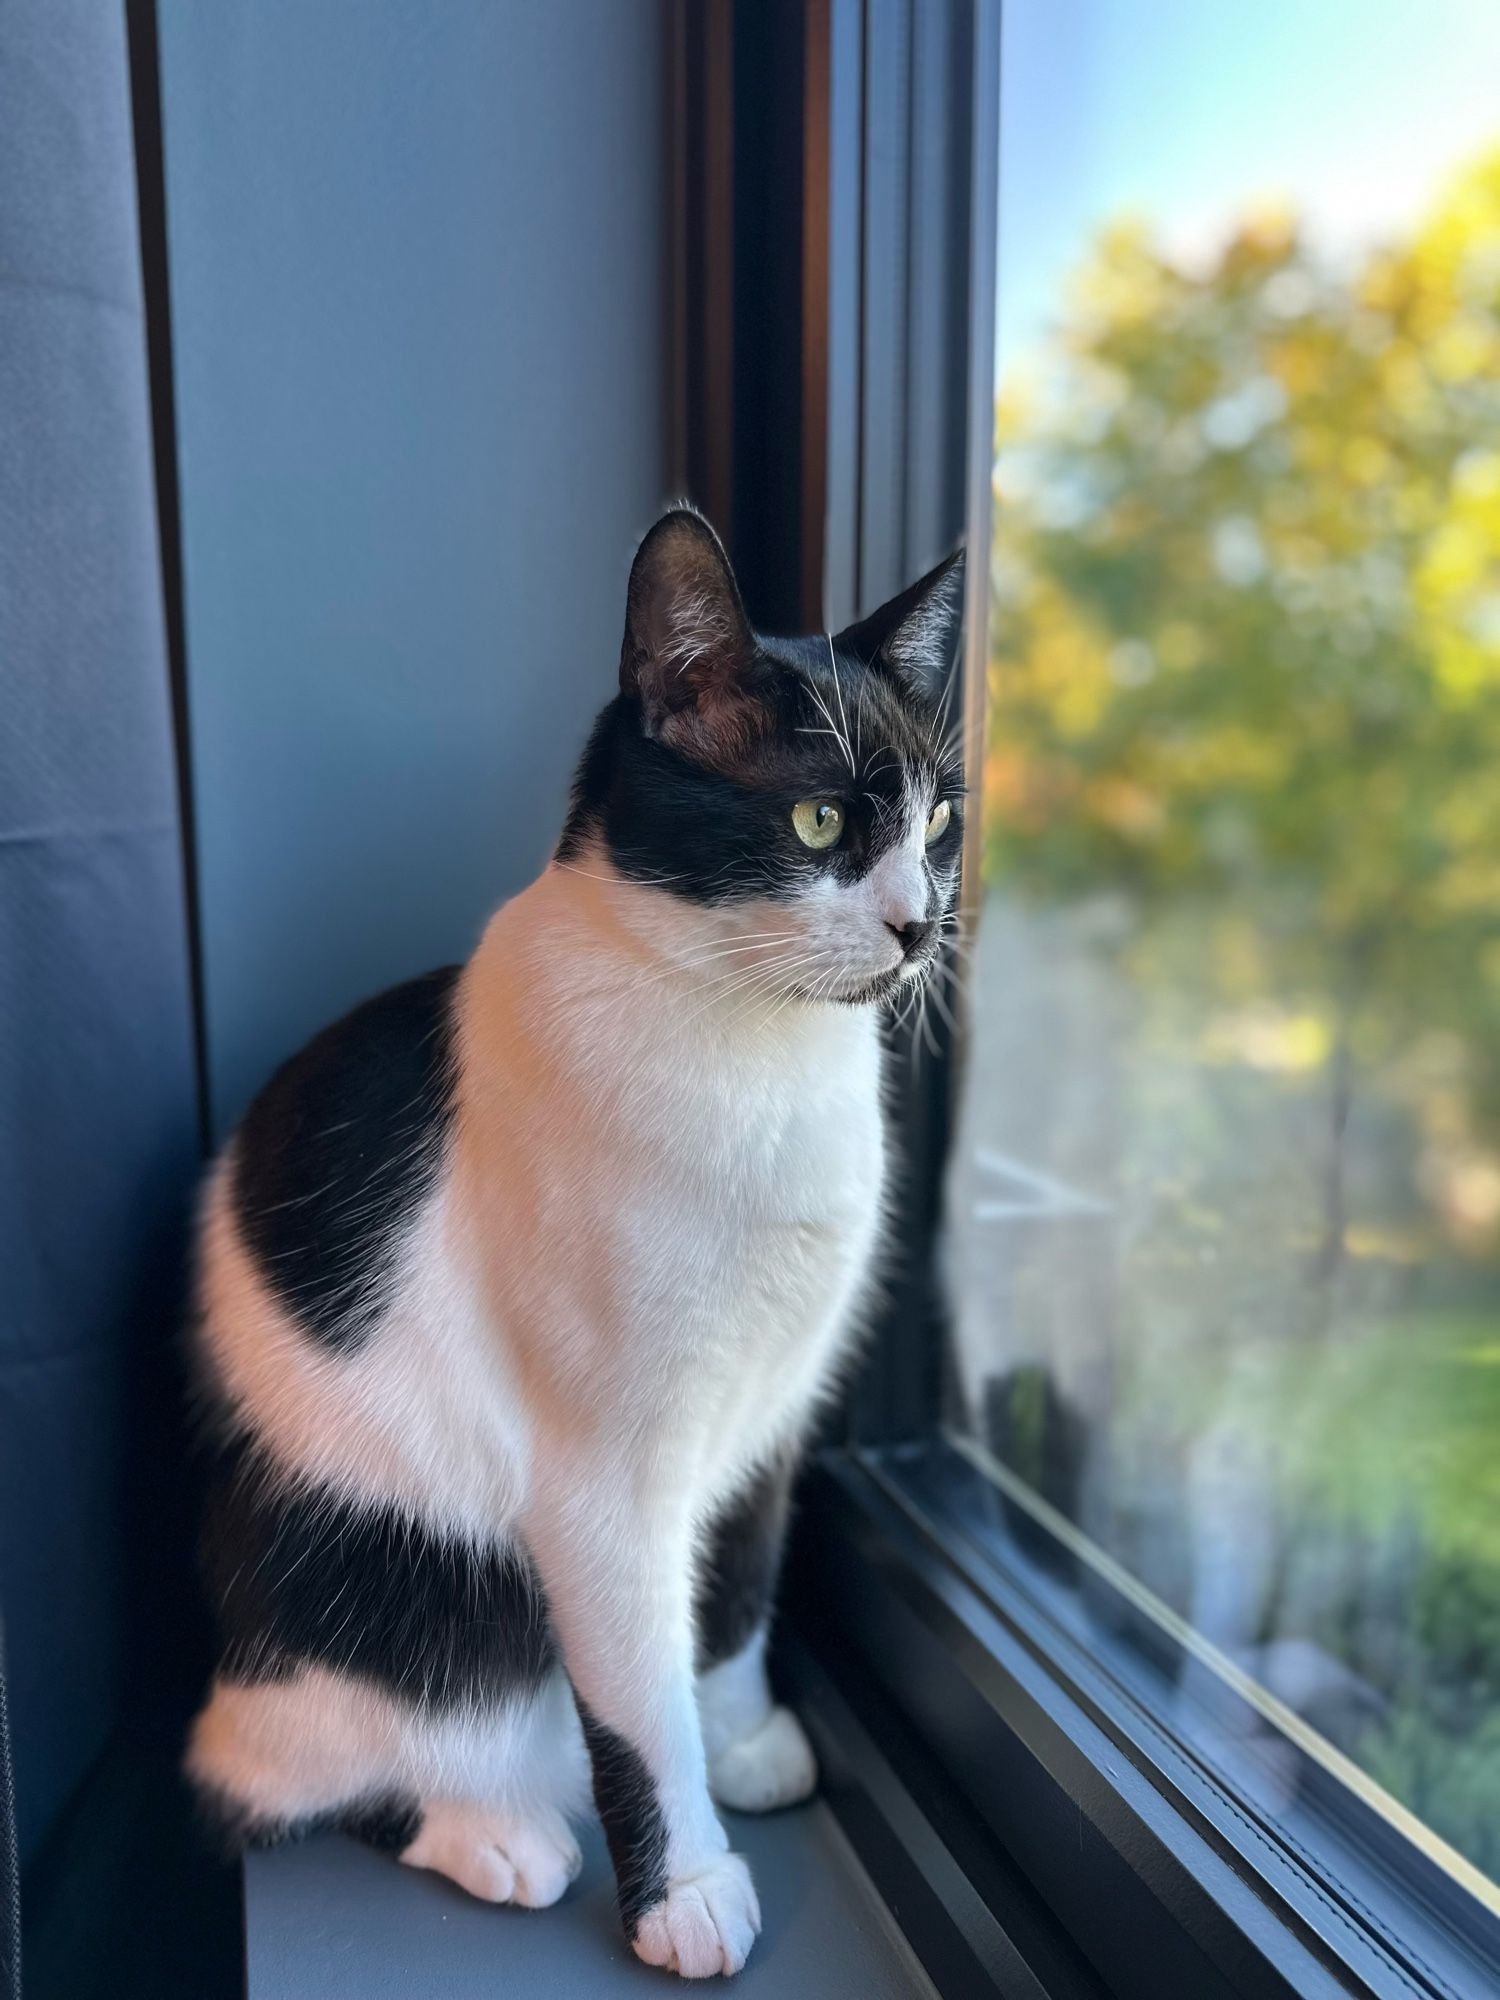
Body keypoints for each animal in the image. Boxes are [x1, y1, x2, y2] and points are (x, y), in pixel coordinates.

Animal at [185, 508, 964, 1976]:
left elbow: (736, 1598)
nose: (919, 923)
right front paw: (689, 1889)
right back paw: (497, 1829)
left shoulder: (772, 1415)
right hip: (411, 1590)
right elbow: (640, 1702)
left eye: (942, 817)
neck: (753, 1046)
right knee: (277, 1780)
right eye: (820, 817)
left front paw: (744, 1736)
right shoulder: (602, 1475)